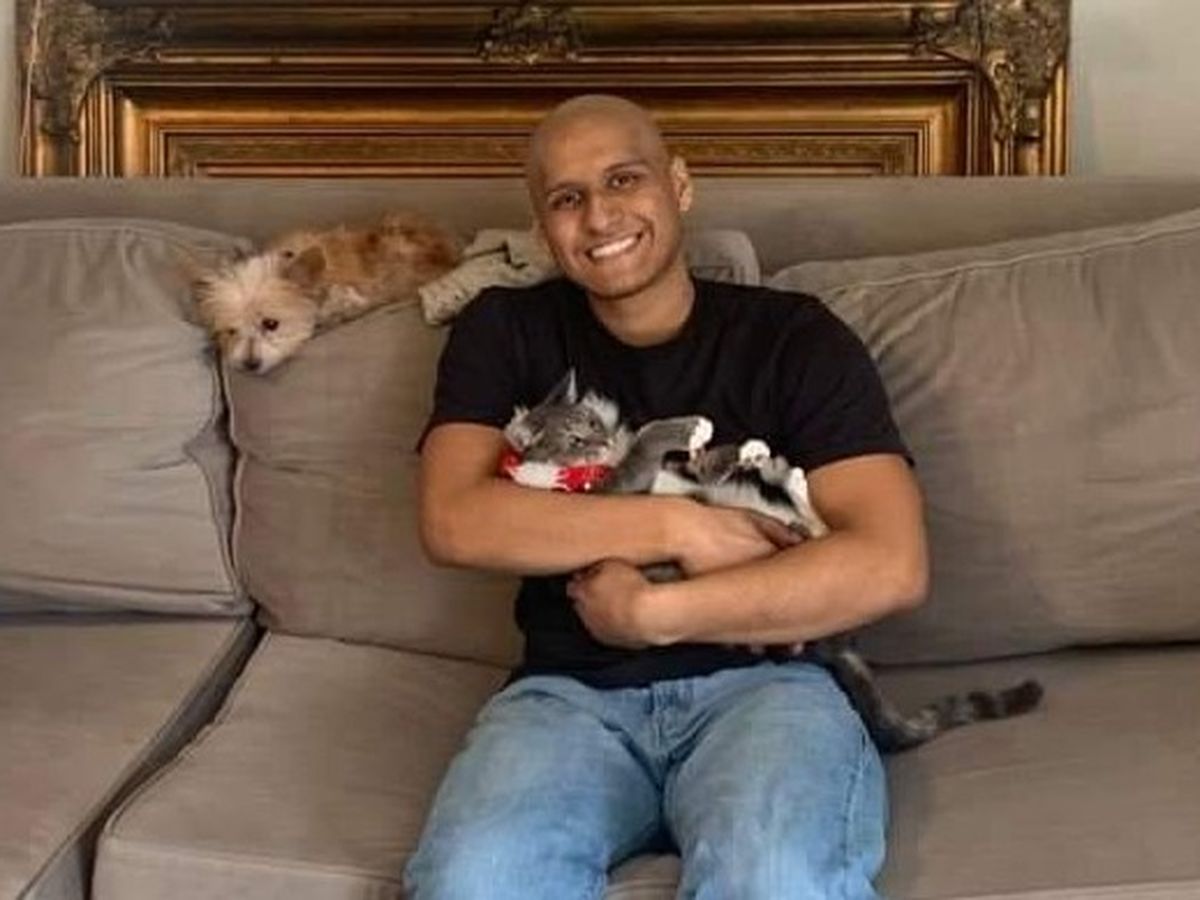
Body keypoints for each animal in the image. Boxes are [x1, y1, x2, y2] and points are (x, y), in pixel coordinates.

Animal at [500, 369, 1044, 752]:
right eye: (575, 439)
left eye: (593, 422)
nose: (604, 441)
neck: (587, 474)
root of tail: (833, 645)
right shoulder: (613, 501)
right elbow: (647, 445)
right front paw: (686, 430)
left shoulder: (690, 481)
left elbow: (705, 466)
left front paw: (738, 448)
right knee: (811, 534)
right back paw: (792, 482)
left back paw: (783, 474)